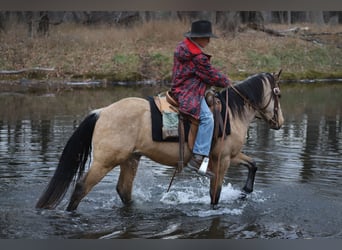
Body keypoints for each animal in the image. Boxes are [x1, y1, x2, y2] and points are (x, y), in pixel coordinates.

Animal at [36, 70, 284, 211]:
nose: (280, 122)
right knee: (81, 188)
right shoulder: (221, 160)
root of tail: (102, 112)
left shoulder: (230, 156)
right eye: (278, 94)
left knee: (123, 191)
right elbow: (215, 195)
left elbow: (253, 164)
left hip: (131, 159)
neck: (231, 113)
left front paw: (245, 192)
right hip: (105, 161)